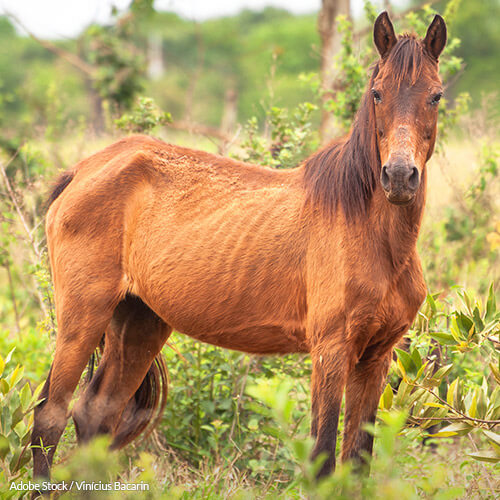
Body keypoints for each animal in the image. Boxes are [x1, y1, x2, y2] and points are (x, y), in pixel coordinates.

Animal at [30, 11, 446, 486]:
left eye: (436, 95)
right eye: (378, 92)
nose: (398, 176)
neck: (372, 236)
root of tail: (83, 170)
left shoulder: (376, 357)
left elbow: (356, 462)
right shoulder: (331, 351)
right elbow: (323, 457)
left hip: (138, 321)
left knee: (95, 414)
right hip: (82, 315)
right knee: (50, 417)